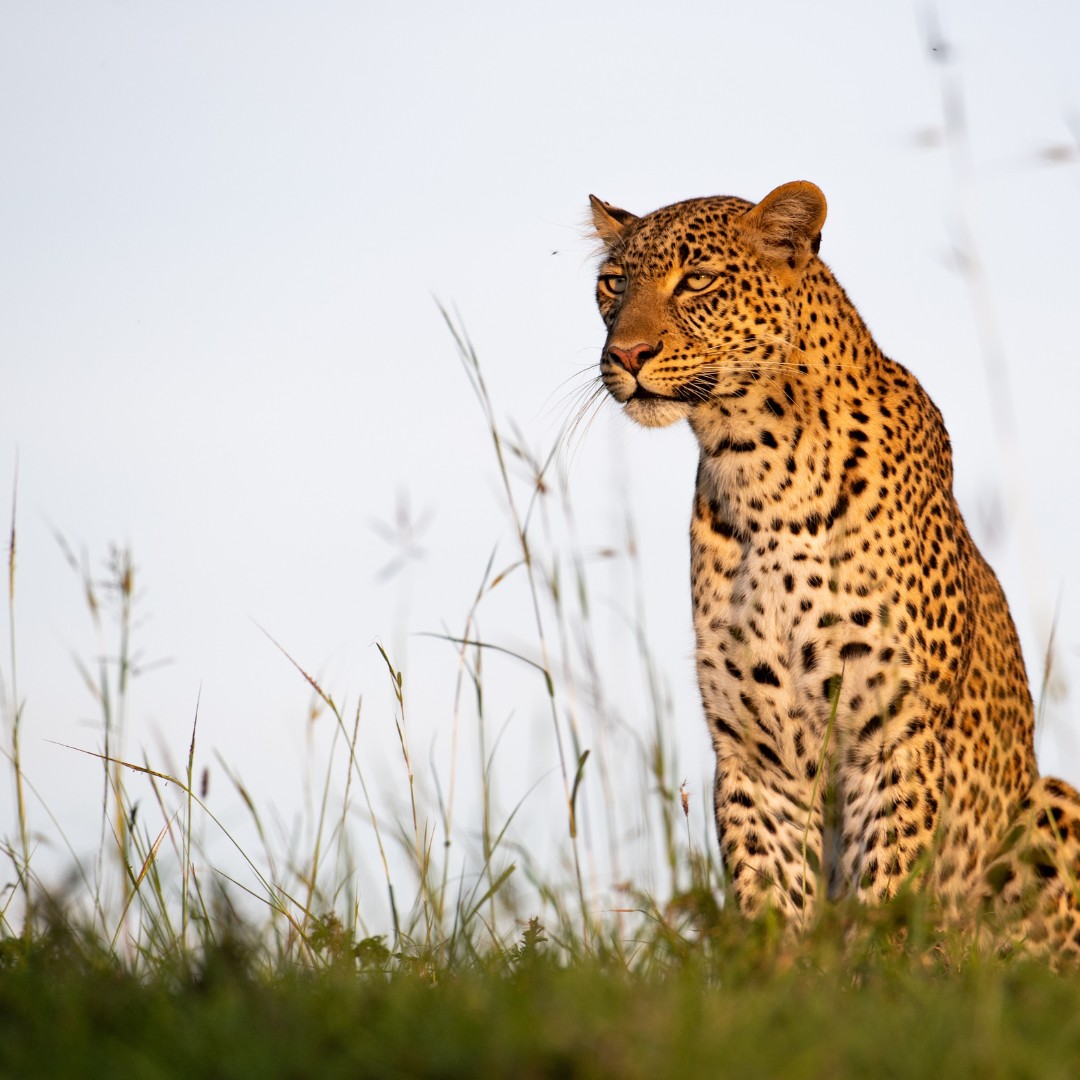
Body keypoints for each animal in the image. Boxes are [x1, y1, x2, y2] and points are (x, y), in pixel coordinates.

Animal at [589, 180, 1080, 961]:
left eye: (696, 280)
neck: (752, 462)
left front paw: (881, 976)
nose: (626, 353)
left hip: (1053, 801)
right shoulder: (754, 755)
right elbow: (769, 896)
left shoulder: (895, 738)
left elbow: (886, 887)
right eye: (612, 284)